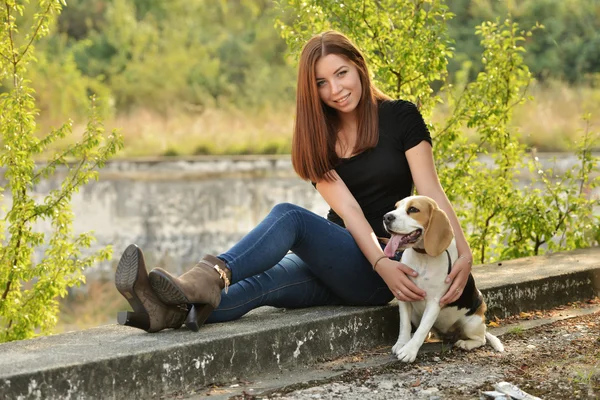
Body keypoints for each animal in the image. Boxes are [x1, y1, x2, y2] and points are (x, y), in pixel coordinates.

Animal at [382, 195, 504, 364]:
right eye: (396, 207)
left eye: (413, 209)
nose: (386, 217)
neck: (423, 257)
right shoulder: (404, 296)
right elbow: (404, 324)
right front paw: (402, 343)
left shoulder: (434, 302)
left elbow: (423, 328)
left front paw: (409, 351)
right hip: (417, 315)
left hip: (472, 323)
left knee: (481, 339)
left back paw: (465, 343)